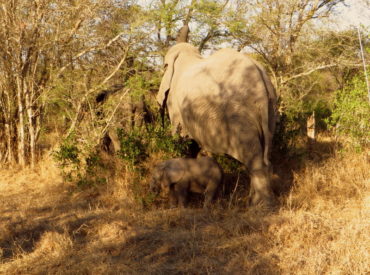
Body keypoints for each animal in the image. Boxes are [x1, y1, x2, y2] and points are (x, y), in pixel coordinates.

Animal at [156, 40, 278, 207]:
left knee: (254, 158)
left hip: (239, 116)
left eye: (163, 67)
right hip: (271, 111)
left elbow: (183, 141)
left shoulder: (176, 107)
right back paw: (254, 203)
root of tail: (261, 77)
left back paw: (261, 206)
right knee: (266, 151)